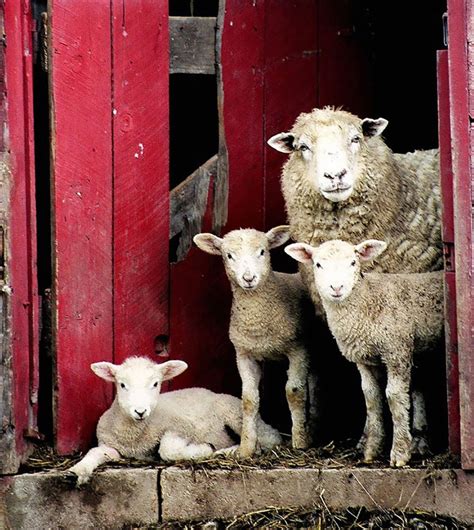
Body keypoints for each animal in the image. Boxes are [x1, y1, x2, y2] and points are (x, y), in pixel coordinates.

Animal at [67, 354, 282, 482]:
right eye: (122, 384)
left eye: (155, 384)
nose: (140, 411)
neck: (134, 435)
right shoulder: (110, 446)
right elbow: (94, 452)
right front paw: (78, 470)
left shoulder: (181, 428)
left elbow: (167, 450)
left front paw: (205, 449)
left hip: (235, 413)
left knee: (269, 440)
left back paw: (228, 451)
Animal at [193, 225, 318, 456]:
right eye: (229, 255)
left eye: (262, 251)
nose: (248, 278)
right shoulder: (244, 354)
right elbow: (249, 400)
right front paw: (246, 448)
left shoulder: (298, 349)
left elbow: (294, 392)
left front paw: (299, 441)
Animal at [286, 237, 444, 464]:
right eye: (318, 264)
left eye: (353, 262)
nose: (337, 288)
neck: (366, 299)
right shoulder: (364, 358)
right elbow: (371, 397)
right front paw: (372, 450)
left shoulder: (397, 350)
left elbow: (394, 397)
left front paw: (399, 453)